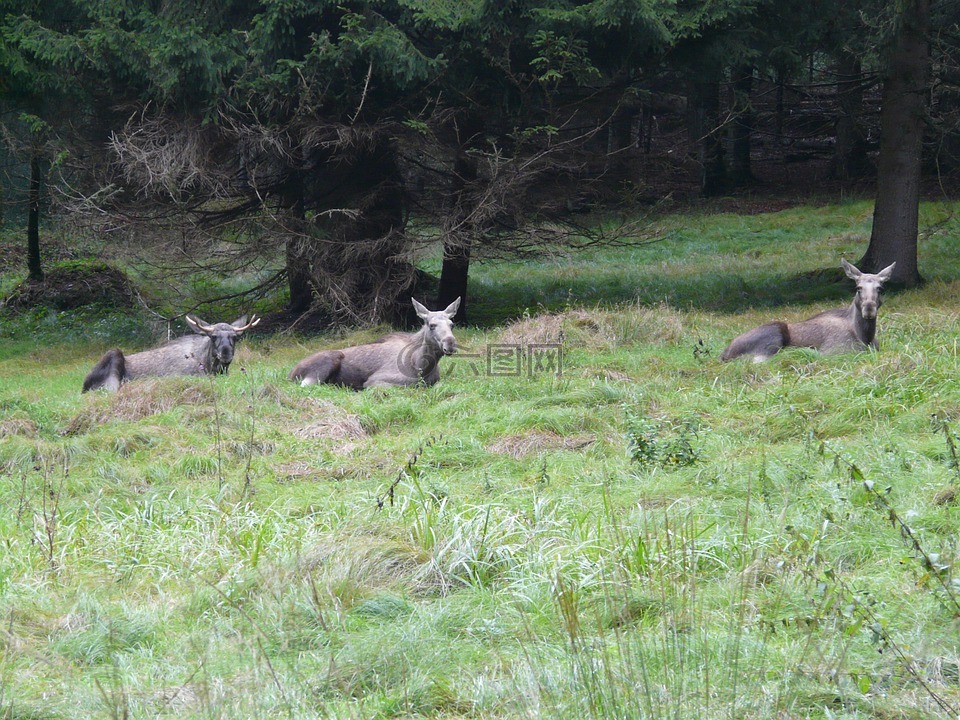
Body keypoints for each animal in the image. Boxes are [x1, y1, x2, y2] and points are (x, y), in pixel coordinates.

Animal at [82, 316, 258, 394]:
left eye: (235, 337)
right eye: (213, 336)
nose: (226, 354)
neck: (210, 366)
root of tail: (83, 387)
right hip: (113, 356)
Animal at [288, 296, 462, 390]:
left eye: (452, 324)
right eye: (431, 325)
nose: (450, 343)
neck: (422, 365)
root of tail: (290, 373)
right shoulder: (375, 381)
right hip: (323, 365)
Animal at [724, 258, 896, 362]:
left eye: (880, 288)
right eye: (858, 288)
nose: (869, 309)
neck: (865, 336)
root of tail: (724, 354)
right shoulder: (836, 351)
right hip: (773, 335)